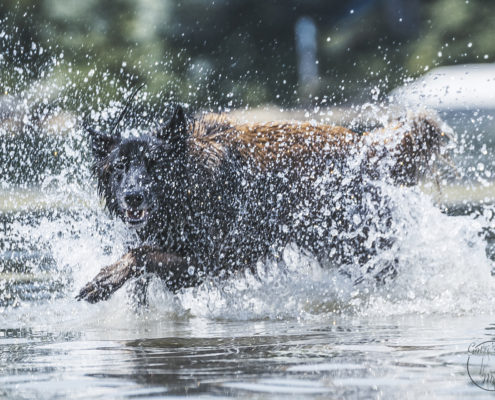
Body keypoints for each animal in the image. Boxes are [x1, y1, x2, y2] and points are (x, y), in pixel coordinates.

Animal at [76, 103, 450, 304]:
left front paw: (103, 280)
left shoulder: (206, 261)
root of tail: (364, 146)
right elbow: (140, 264)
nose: (132, 196)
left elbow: (140, 256)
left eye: (155, 165)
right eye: (120, 167)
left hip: (355, 243)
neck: (192, 188)